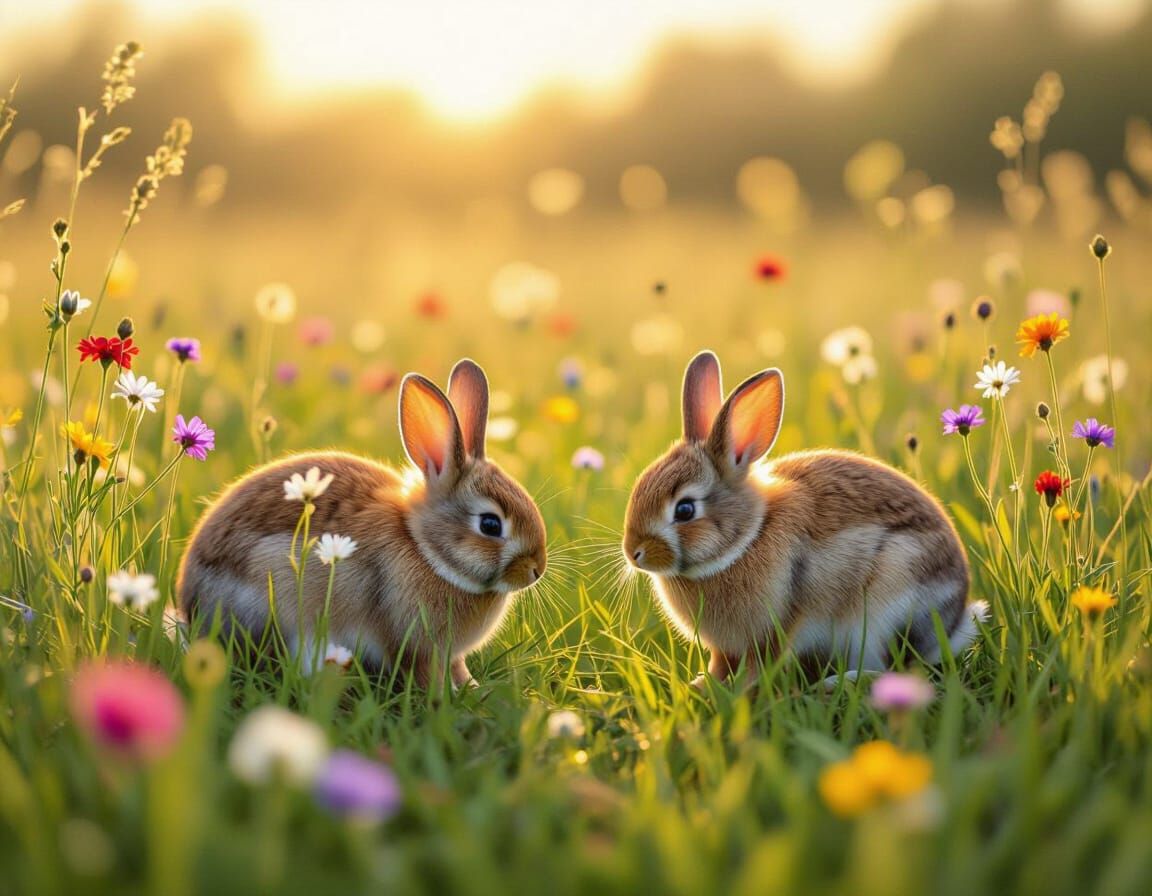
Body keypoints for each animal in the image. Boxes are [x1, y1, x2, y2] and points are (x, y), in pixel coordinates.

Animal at [178, 359, 547, 689]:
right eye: (490, 525)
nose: (536, 570)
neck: (424, 548)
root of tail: (189, 607)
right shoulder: (414, 646)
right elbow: (425, 675)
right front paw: (446, 698)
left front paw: (471, 688)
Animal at [623, 350, 988, 688]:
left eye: (685, 510)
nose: (633, 553)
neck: (747, 539)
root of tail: (954, 622)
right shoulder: (724, 649)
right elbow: (720, 665)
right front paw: (701, 685)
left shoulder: (777, 628)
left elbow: (761, 664)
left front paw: (741, 691)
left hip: (886, 609)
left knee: (893, 669)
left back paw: (836, 683)